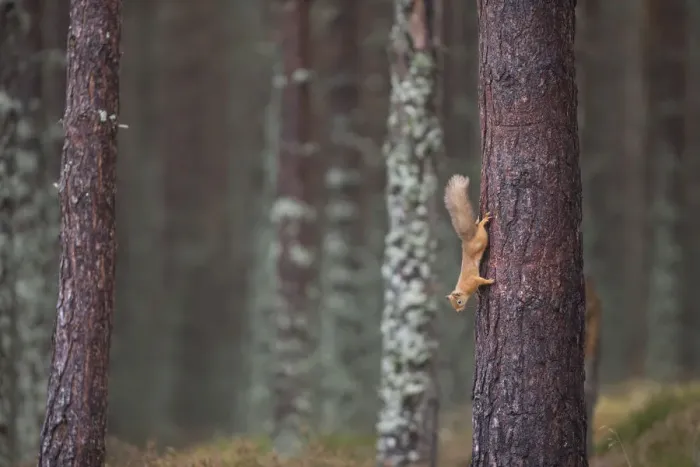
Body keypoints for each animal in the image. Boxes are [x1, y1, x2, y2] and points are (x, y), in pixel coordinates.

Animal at [443, 174, 495, 312]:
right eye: (454, 305)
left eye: (459, 302)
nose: (459, 311)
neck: (463, 289)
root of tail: (467, 241)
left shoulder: (472, 280)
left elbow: (481, 280)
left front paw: (490, 281)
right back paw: (477, 221)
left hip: (481, 240)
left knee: (481, 230)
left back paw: (482, 222)